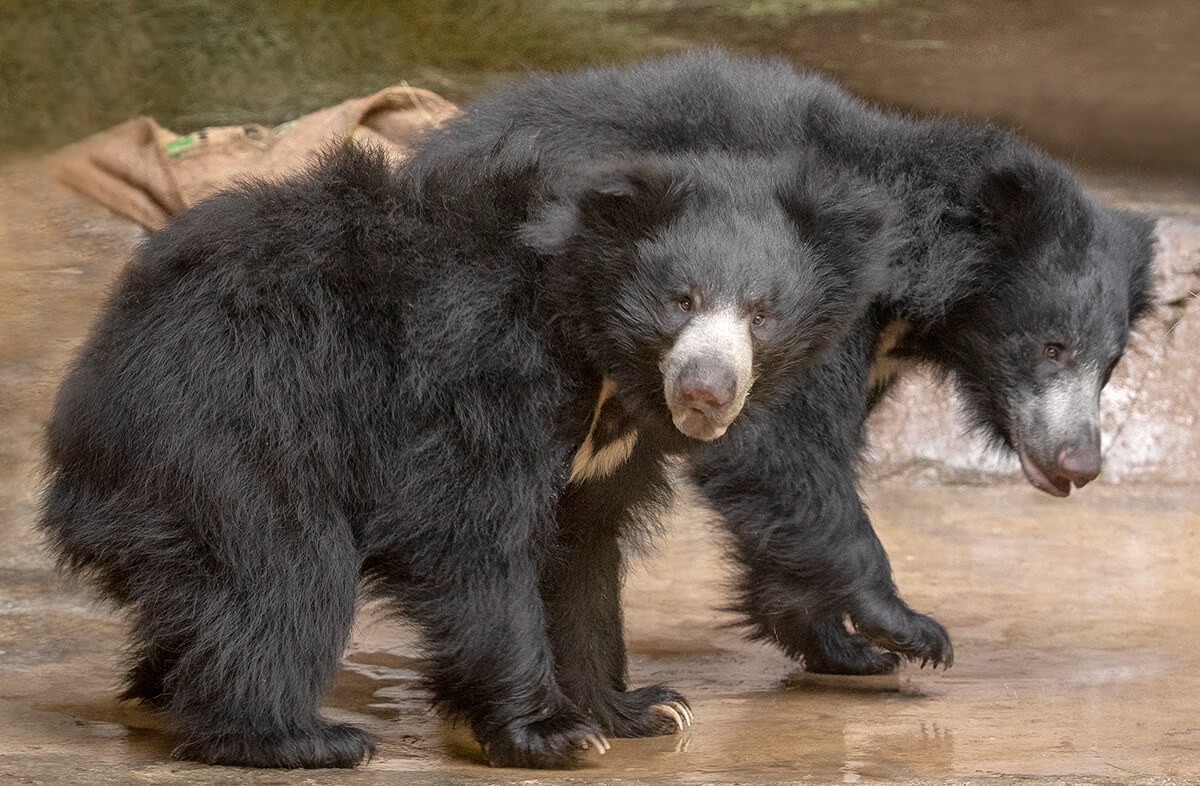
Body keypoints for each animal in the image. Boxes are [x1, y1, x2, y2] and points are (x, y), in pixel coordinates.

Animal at [408, 49, 1156, 676]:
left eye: (1110, 364)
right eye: (1051, 347)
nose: (1079, 462)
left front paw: (837, 644)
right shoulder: (809, 307)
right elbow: (781, 447)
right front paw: (906, 629)